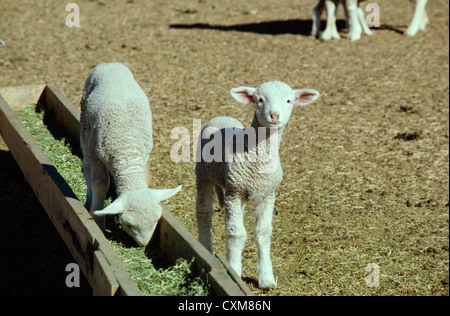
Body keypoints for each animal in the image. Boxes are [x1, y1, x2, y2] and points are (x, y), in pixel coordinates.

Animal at [81, 62, 181, 247]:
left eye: (157, 219)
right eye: (128, 225)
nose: (144, 245)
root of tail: (110, 64)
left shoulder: (144, 154)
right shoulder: (96, 156)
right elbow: (100, 183)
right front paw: (97, 221)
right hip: (86, 132)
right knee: (87, 170)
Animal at [196, 80, 320, 288]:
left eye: (289, 100)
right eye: (260, 100)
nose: (275, 115)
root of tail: (222, 117)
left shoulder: (267, 195)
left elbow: (263, 234)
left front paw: (266, 278)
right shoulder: (234, 193)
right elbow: (236, 234)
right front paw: (234, 272)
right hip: (204, 175)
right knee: (204, 214)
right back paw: (205, 249)